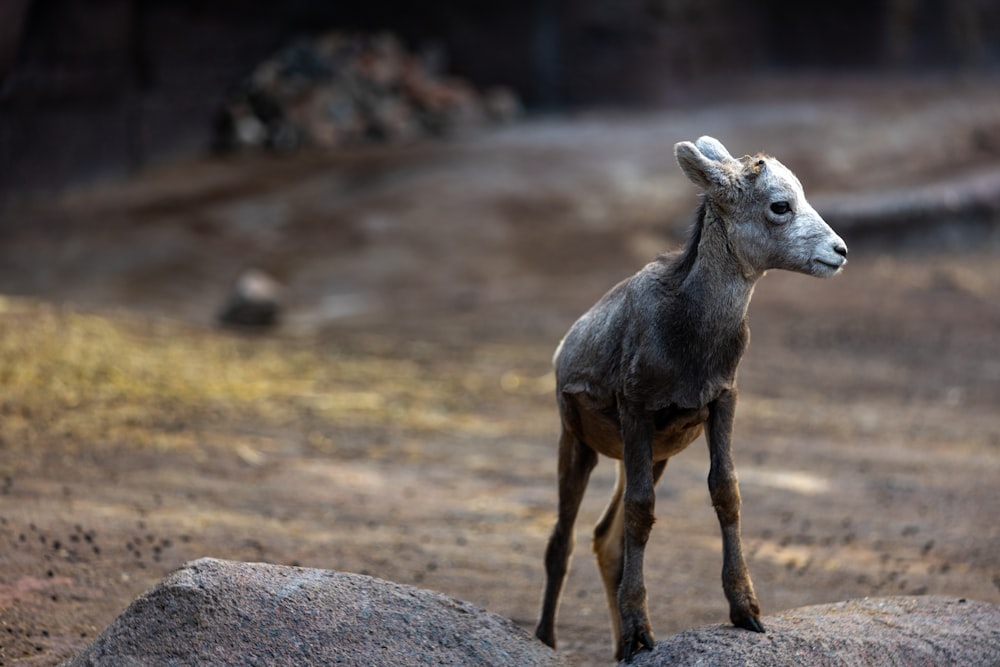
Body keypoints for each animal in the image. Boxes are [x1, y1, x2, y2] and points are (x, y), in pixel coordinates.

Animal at [536, 137, 848, 664]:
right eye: (779, 205)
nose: (840, 251)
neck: (692, 337)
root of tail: (563, 349)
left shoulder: (722, 401)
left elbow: (725, 492)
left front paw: (746, 612)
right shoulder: (636, 407)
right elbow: (642, 511)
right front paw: (641, 633)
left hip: (647, 455)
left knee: (605, 538)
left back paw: (618, 649)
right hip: (576, 441)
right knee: (562, 541)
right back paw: (547, 640)